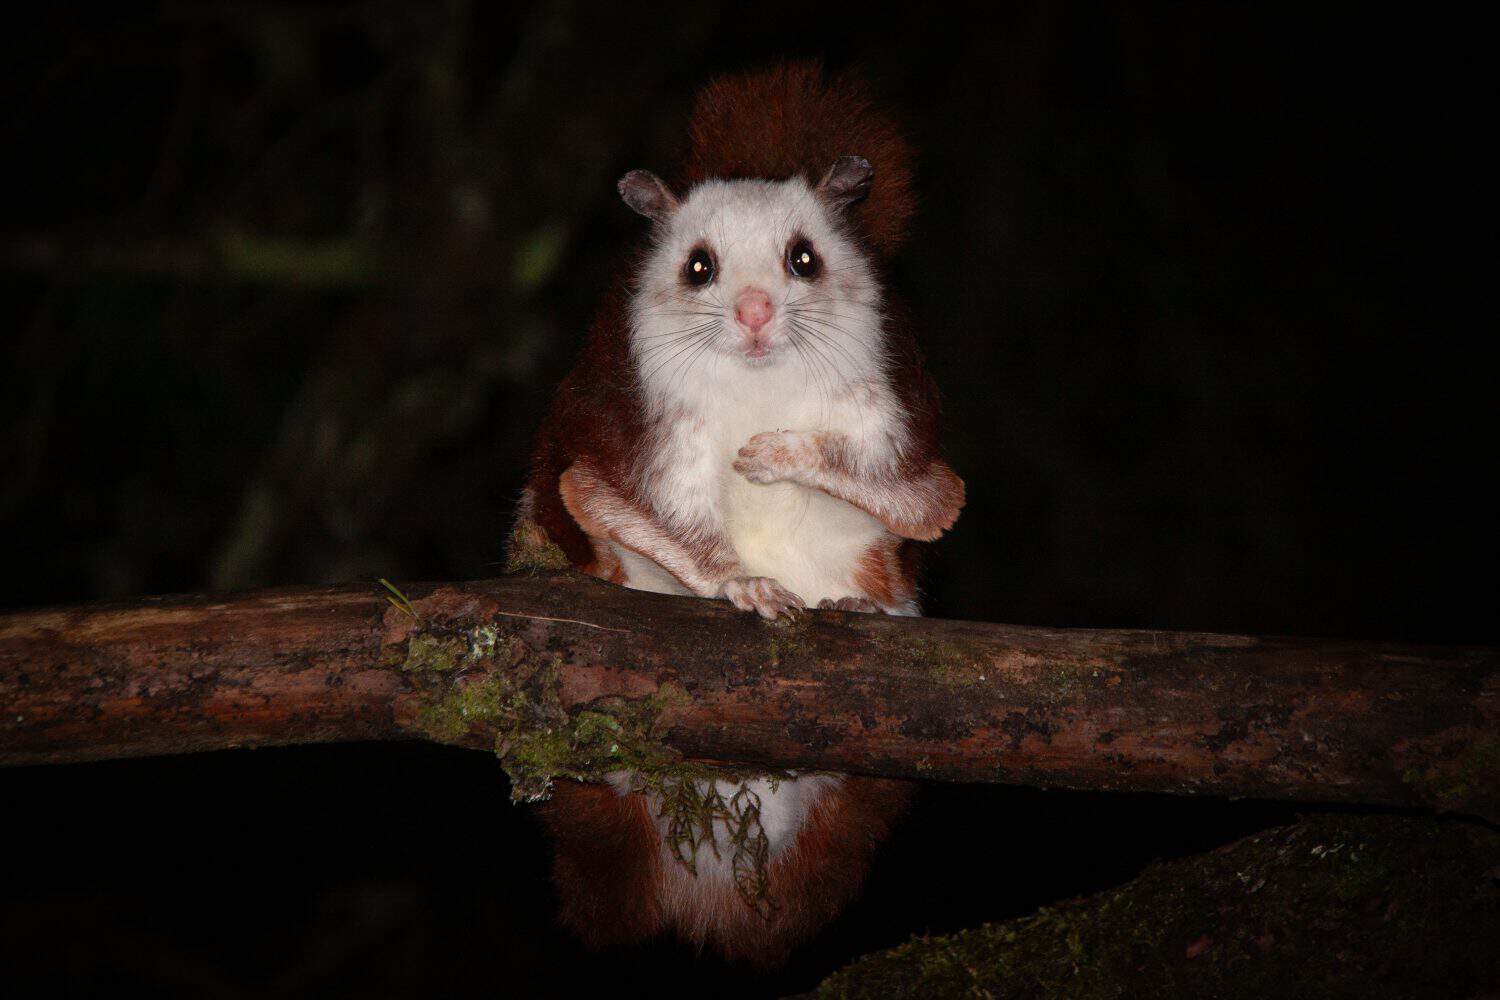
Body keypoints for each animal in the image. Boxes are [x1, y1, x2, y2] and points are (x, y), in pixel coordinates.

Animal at [507, 62, 965, 967]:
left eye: (804, 258)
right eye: (698, 267)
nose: (754, 313)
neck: (759, 386)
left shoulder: (900, 426)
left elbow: (921, 502)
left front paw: (778, 456)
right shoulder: (629, 439)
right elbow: (611, 503)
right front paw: (740, 584)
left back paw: (861, 602)